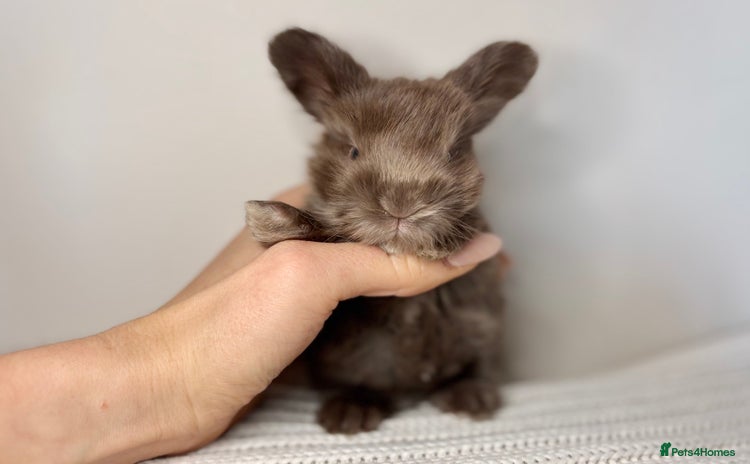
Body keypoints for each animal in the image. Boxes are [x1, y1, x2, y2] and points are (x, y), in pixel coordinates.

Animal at [245, 27, 537, 434]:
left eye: (453, 152)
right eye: (352, 151)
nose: (402, 203)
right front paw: (274, 220)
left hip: (482, 330)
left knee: (477, 367)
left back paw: (470, 398)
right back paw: (351, 409)